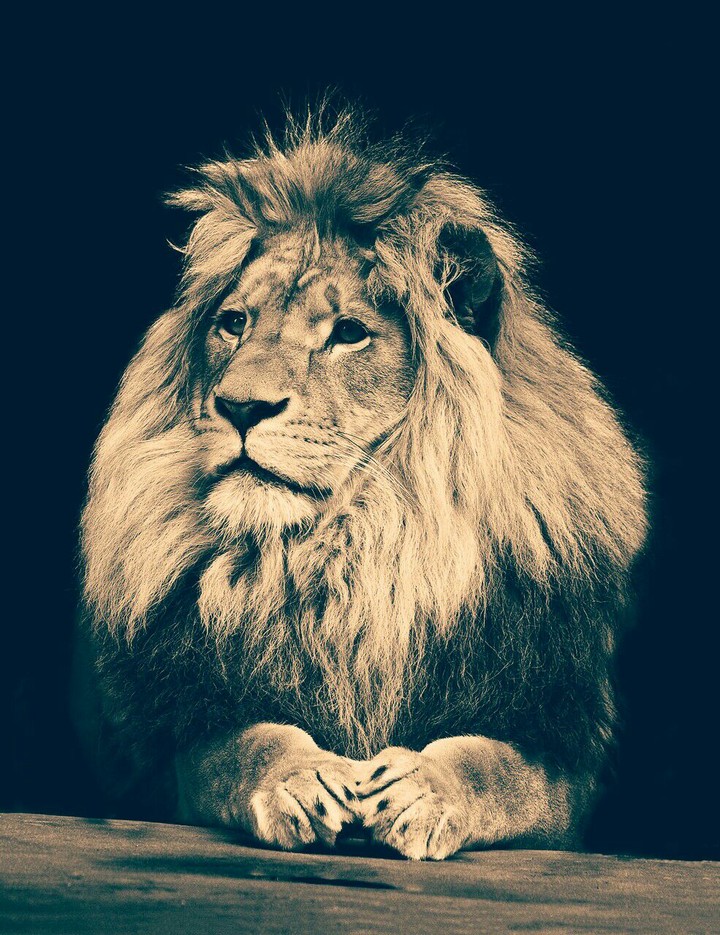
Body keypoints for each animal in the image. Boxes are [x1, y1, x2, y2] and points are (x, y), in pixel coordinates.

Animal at [73, 108, 647, 860]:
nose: (240, 407)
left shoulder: (559, 749)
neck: (359, 549)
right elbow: (244, 746)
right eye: (233, 324)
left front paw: (424, 789)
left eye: (348, 333)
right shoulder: (176, 738)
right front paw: (299, 779)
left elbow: (496, 768)